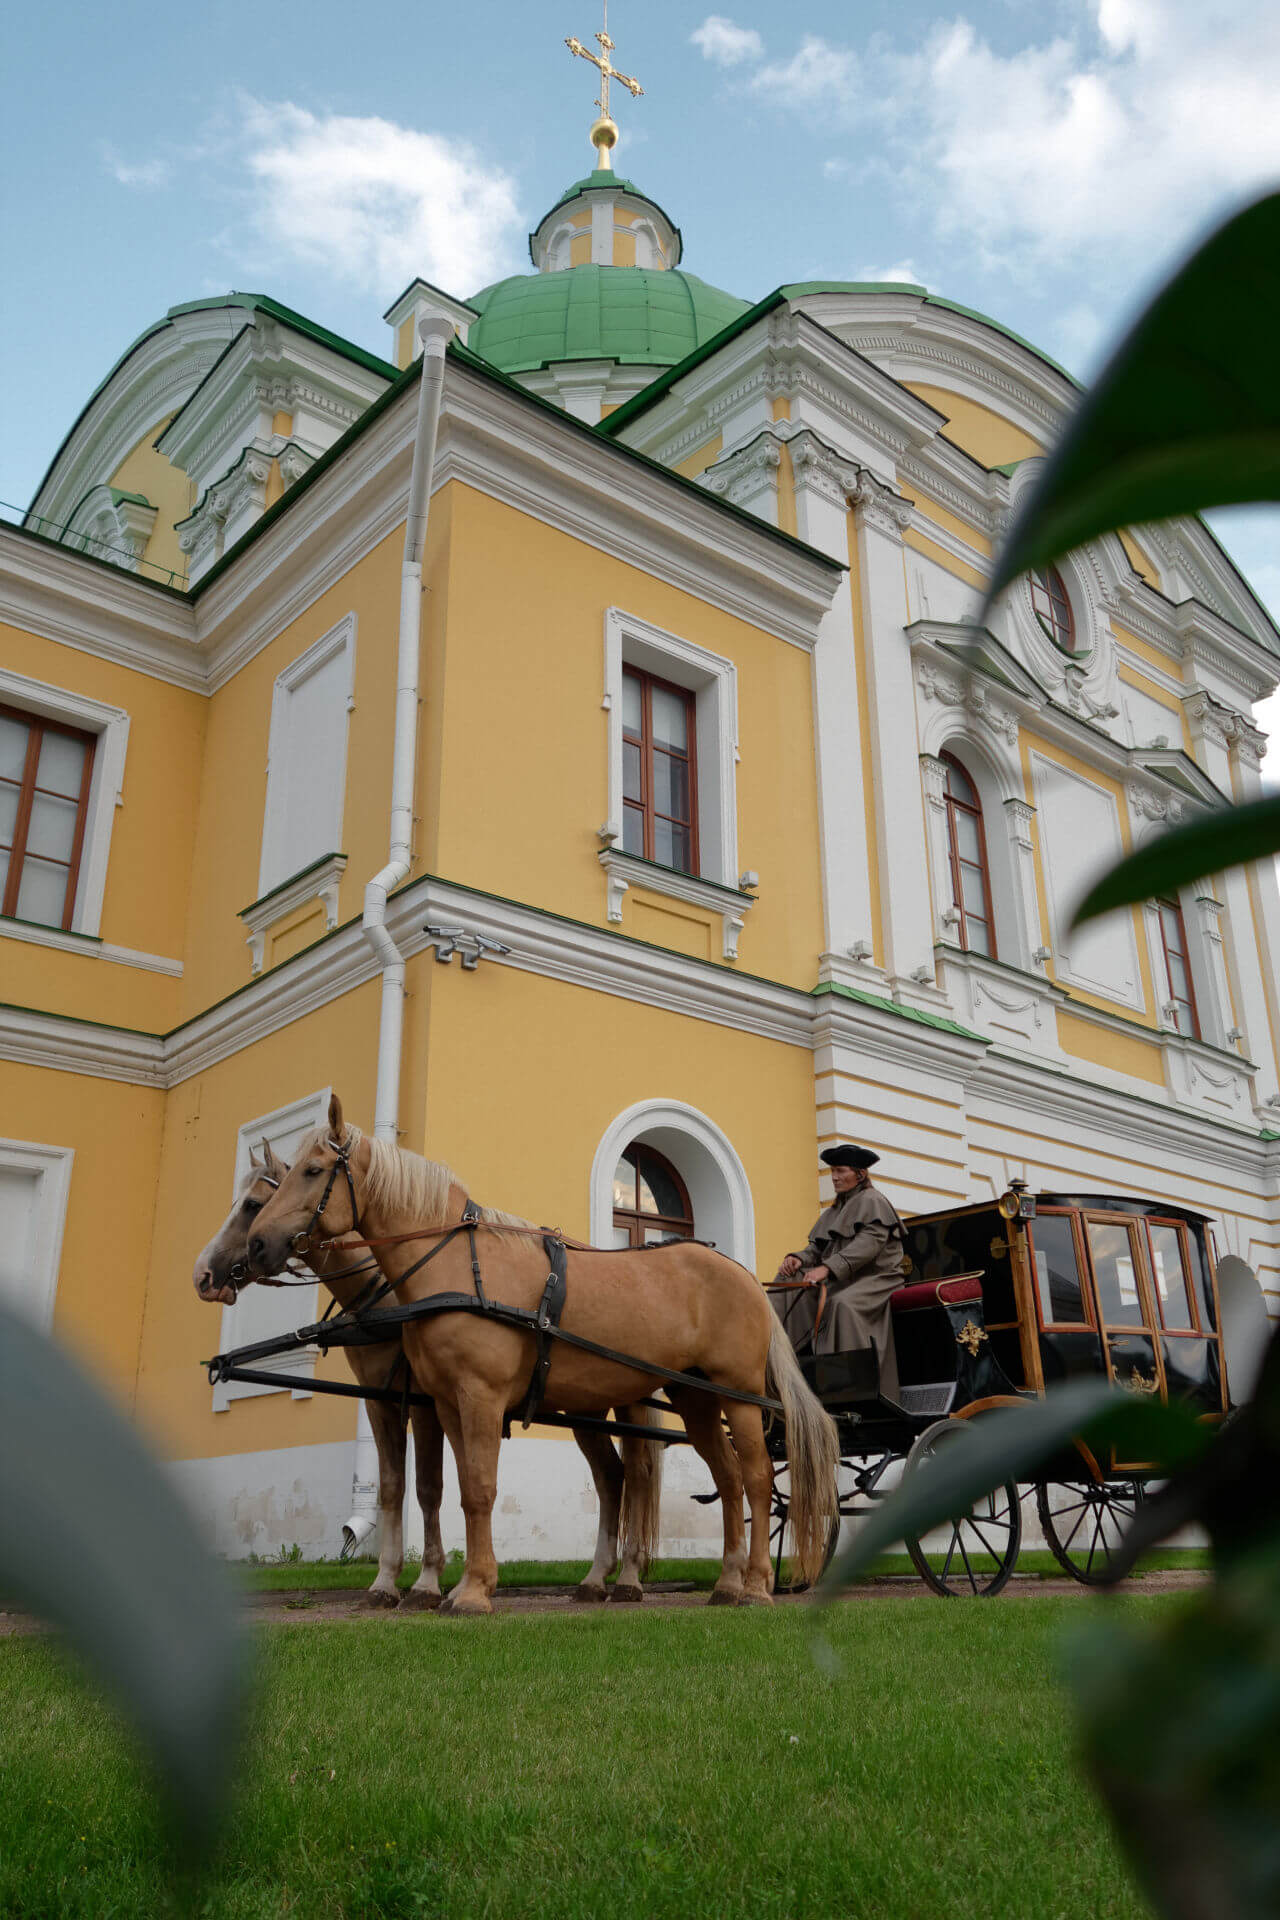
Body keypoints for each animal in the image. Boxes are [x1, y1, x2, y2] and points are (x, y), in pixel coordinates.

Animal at [197, 1136, 671, 1605]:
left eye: (253, 1204)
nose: (203, 1276)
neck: (392, 1292)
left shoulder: (426, 1404)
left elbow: (429, 1487)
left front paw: (427, 1581)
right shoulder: (382, 1402)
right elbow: (393, 1487)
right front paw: (387, 1581)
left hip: (627, 1400)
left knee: (639, 1476)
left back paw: (629, 1576)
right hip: (585, 1407)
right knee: (611, 1476)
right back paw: (596, 1577)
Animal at [247, 1098, 840, 1620]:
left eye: (313, 1171)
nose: (255, 1245)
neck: (457, 1267)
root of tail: (744, 1276)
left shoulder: (479, 1397)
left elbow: (480, 1490)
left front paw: (473, 1590)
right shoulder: (445, 1404)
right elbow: (460, 1489)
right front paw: (455, 1586)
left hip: (737, 1395)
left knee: (757, 1478)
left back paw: (757, 1585)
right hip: (694, 1398)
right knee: (728, 1479)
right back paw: (727, 1583)